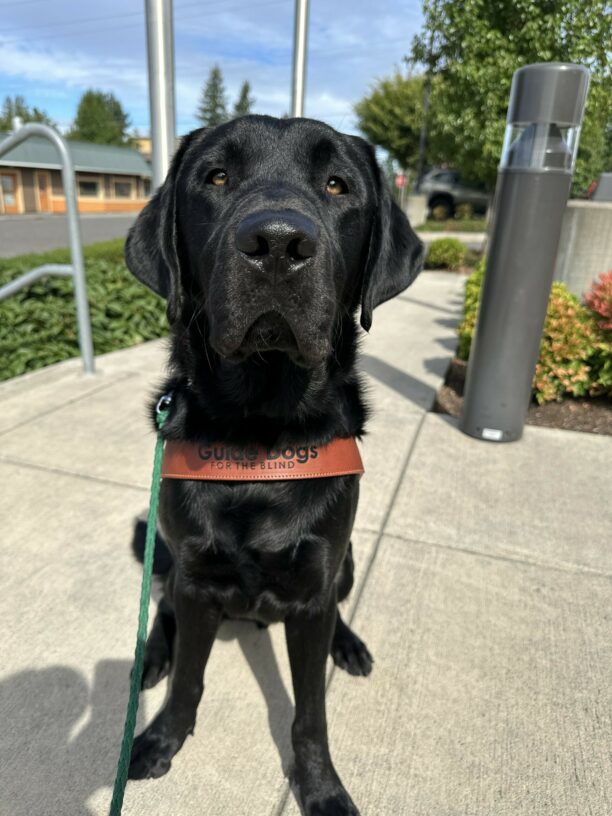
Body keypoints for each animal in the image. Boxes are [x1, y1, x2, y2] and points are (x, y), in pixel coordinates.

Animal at [124, 115, 420, 816]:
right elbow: (188, 679)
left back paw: (350, 644)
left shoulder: (313, 588)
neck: (260, 432)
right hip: (170, 559)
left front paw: (321, 787)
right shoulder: (196, 578)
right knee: (162, 609)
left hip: (347, 560)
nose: (278, 244)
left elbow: (309, 714)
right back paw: (151, 658)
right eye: (216, 176)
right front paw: (161, 740)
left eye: (338, 184)